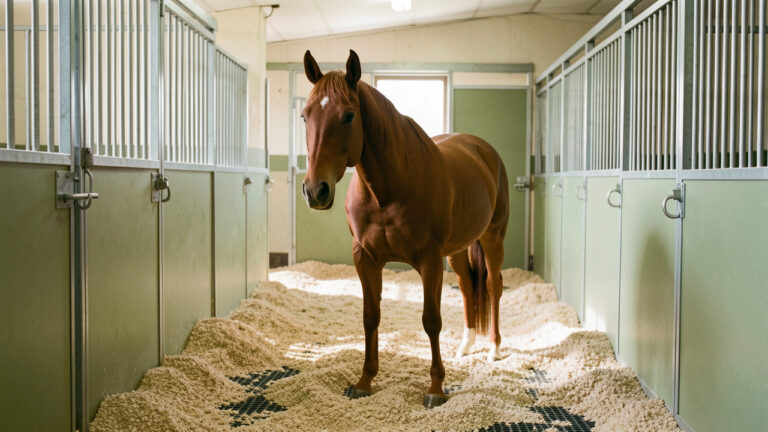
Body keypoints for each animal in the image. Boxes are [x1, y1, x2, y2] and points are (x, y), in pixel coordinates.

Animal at [300, 49, 509, 408]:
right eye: (304, 116)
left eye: (349, 116)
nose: (316, 191)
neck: (387, 190)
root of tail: (484, 150)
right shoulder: (365, 258)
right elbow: (371, 316)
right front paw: (365, 381)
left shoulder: (428, 259)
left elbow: (431, 320)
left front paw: (436, 388)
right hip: (456, 250)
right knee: (468, 286)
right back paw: (466, 346)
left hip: (492, 238)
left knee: (493, 286)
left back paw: (493, 349)